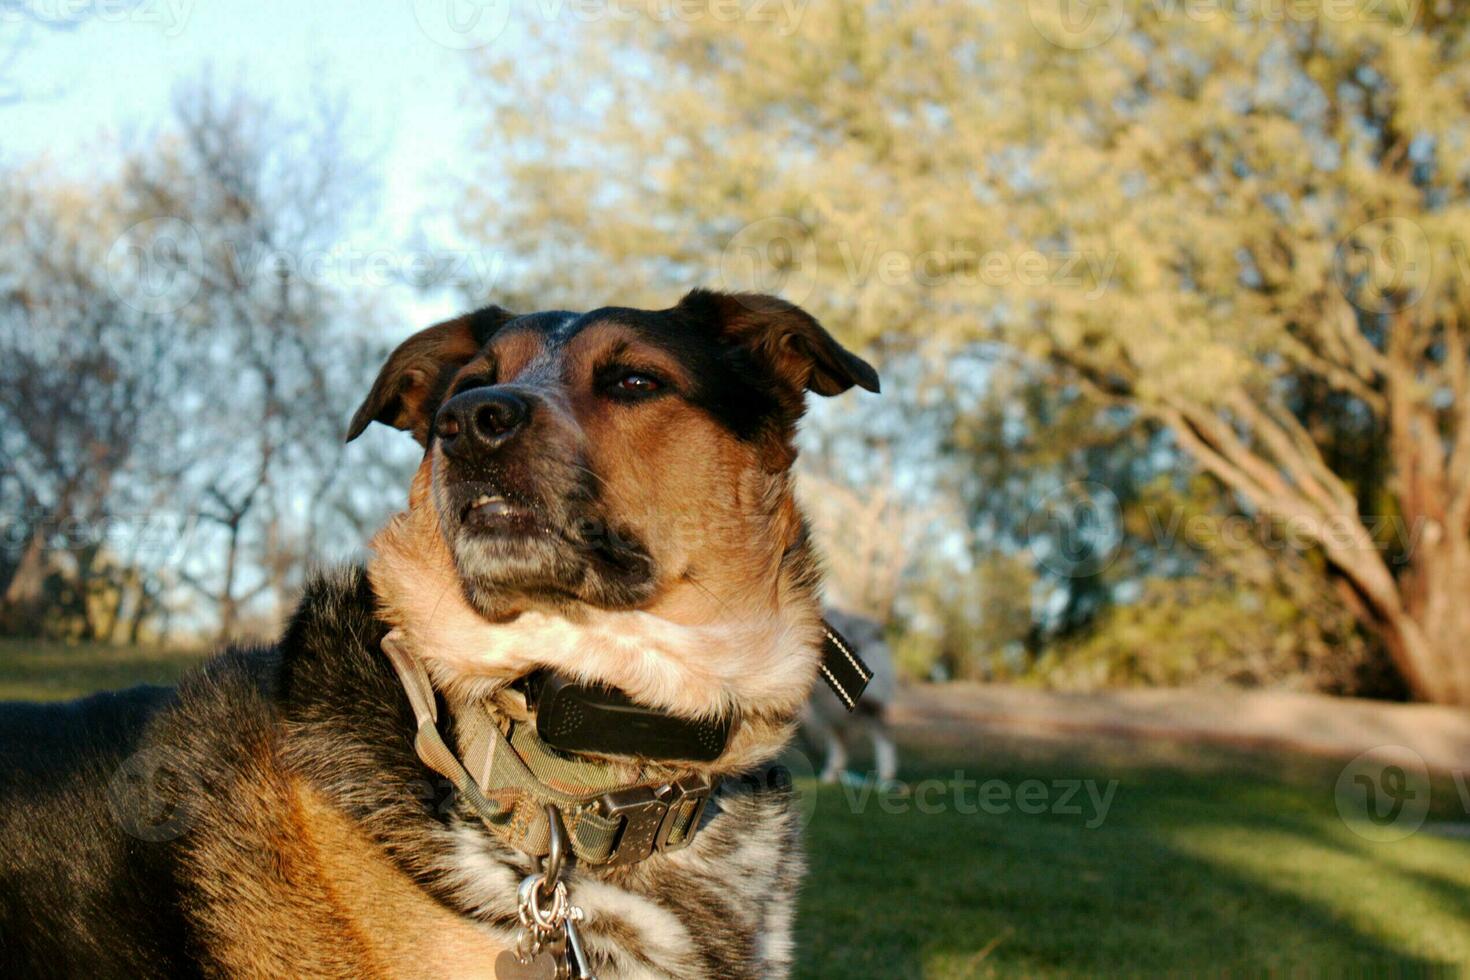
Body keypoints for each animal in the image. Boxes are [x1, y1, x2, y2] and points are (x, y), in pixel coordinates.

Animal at [805, 608, 893, 787]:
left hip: (858, 701)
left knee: (881, 732)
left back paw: (885, 778)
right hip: (828, 706)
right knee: (840, 737)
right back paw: (831, 774)